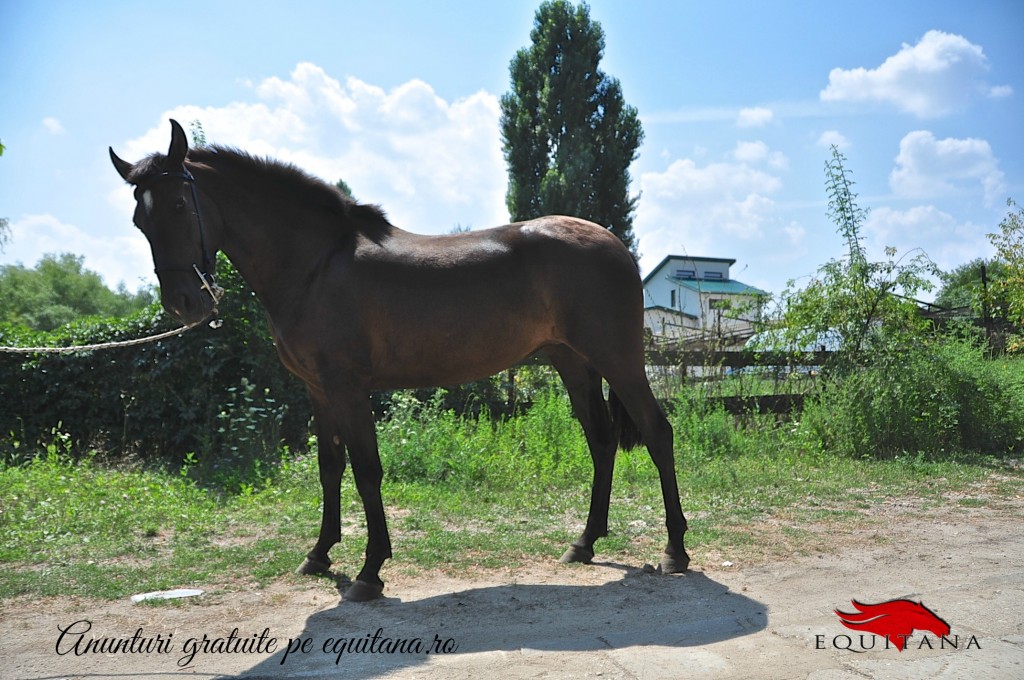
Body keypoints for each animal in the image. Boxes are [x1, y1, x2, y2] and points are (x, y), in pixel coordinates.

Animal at [110, 120, 688, 602]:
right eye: (139, 218)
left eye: (180, 206)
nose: (185, 303)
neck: (316, 264)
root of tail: (614, 242)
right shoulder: (318, 390)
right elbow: (330, 468)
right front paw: (319, 555)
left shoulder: (348, 388)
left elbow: (367, 470)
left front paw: (370, 571)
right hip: (572, 363)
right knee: (602, 442)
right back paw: (584, 543)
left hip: (619, 360)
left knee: (657, 433)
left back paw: (675, 550)